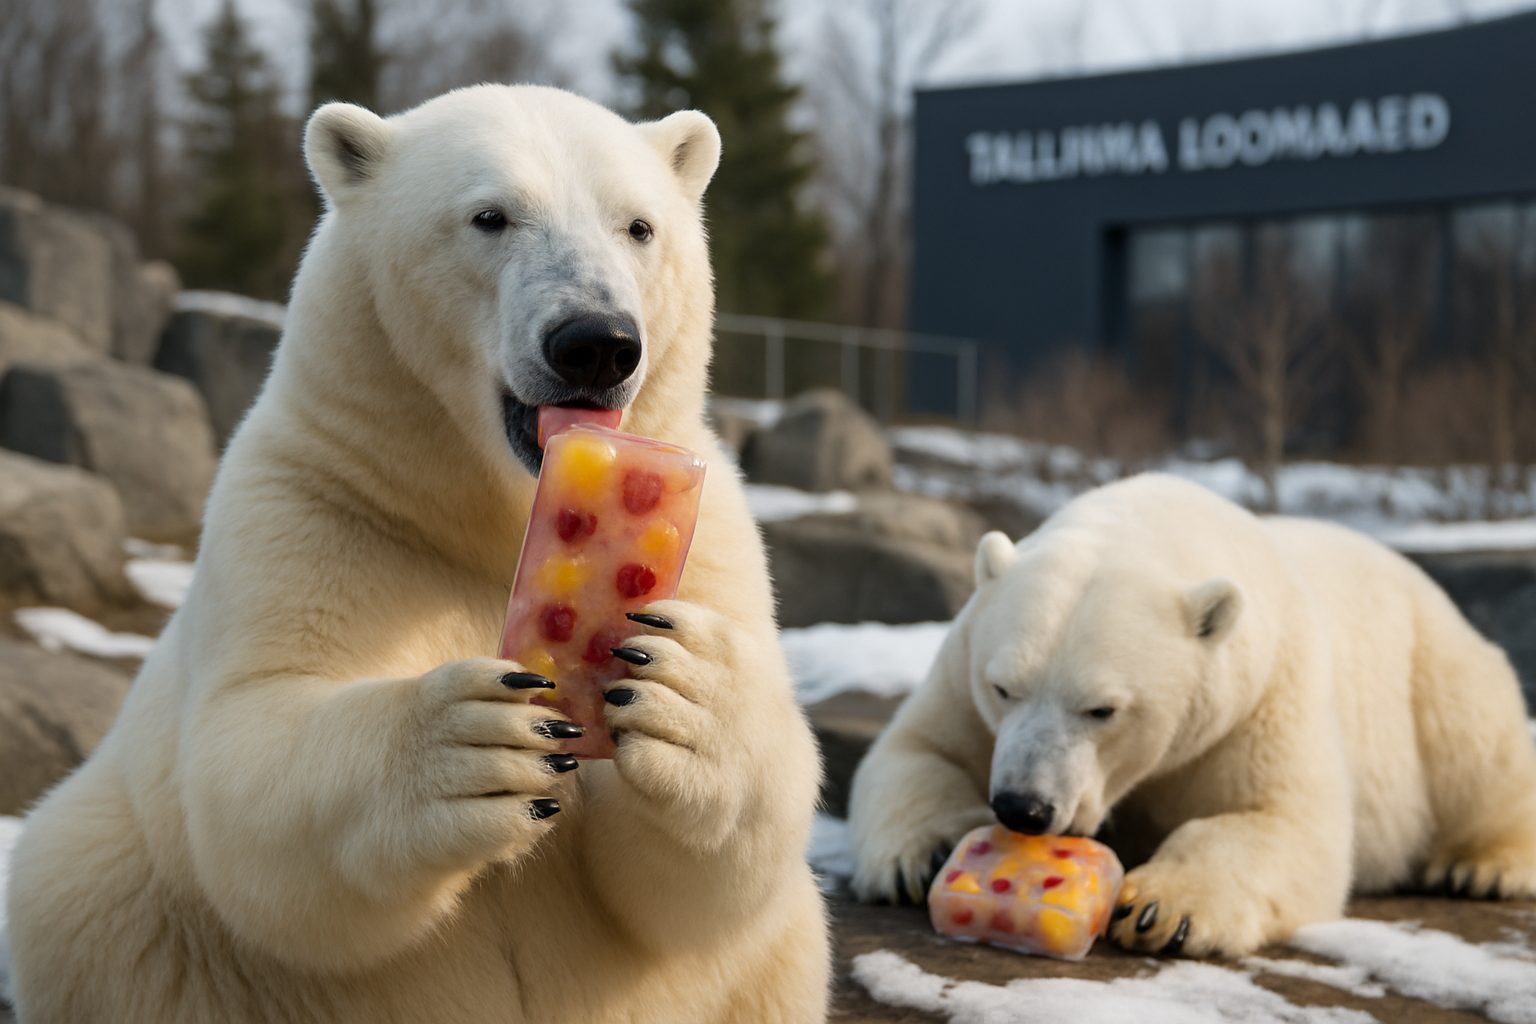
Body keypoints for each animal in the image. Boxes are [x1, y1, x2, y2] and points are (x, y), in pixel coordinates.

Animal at [6, 85, 829, 1023]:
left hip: (764, 975)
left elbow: (688, 894)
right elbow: (248, 741)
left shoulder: (719, 537)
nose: (595, 342)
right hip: (139, 903)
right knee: (73, 887)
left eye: (639, 226)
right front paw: (469, 746)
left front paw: (685, 693)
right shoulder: (314, 503)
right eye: (490, 216)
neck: (496, 518)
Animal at [847, 472, 1536, 959]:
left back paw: (1484, 867)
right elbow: (917, 748)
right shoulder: (964, 662)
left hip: (1430, 666)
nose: (1024, 807)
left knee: (1477, 746)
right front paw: (925, 858)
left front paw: (1162, 911)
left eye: (1102, 709)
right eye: (1003, 688)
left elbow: (1282, 819)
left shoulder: (1263, 693)